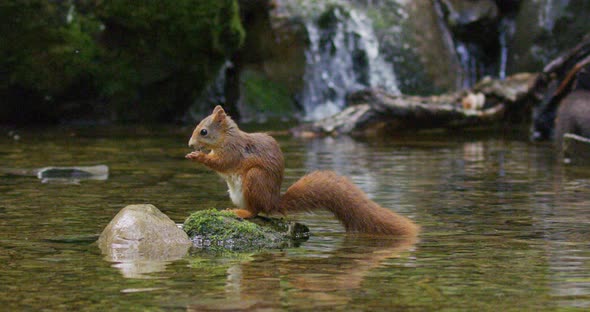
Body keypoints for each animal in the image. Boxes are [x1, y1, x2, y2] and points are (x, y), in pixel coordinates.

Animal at [186, 106, 420, 235]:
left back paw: (240, 213)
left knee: (256, 211)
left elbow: (222, 163)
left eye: (203, 131)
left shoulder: (233, 151)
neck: (227, 136)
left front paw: (198, 156)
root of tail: (273, 202)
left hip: (255, 179)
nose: (190, 144)